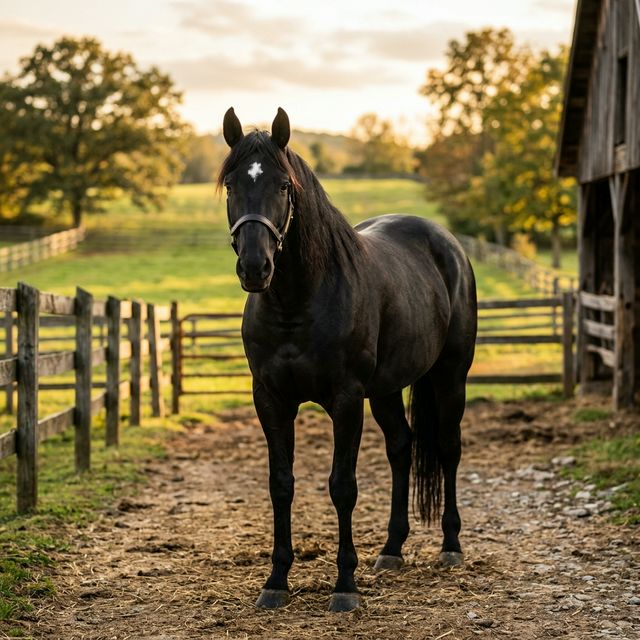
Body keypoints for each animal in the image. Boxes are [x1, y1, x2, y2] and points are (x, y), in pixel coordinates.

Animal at [218, 107, 477, 613]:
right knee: (401, 447)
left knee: (448, 448)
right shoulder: (270, 400)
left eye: (284, 185)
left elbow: (343, 486)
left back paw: (451, 546)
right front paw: (276, 581)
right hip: (388, 389)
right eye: (232, 184)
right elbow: (281, 483)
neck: (297, 303)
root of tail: (446, 243)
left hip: (450, 376)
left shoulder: (345, 400)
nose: (256, 267)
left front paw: (344, 586)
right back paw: (392, 550)